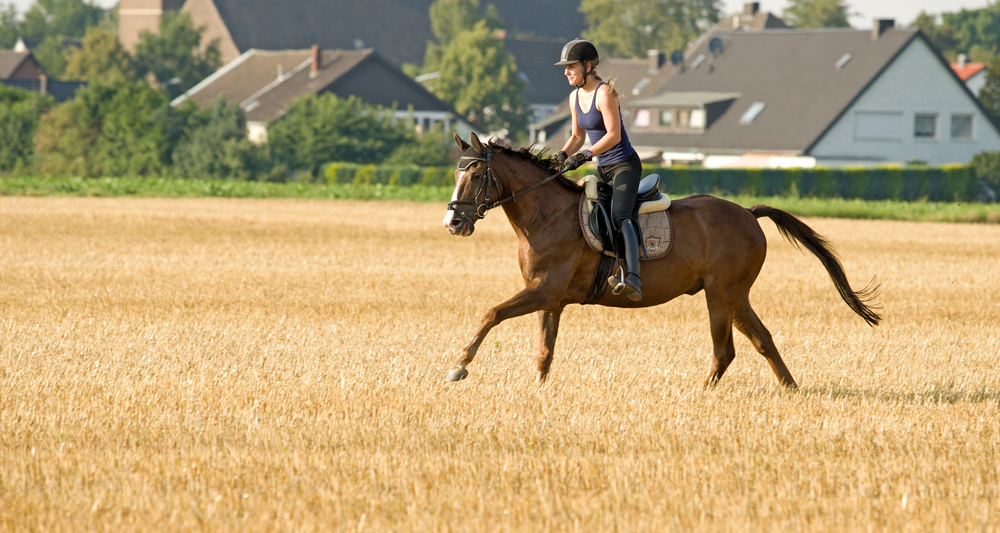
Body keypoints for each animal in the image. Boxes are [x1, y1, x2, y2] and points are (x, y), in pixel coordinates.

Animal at [442, 130, 880, 384]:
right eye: (456, 174)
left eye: (476, 176)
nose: (453, 222)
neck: (545, 214)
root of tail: (748, 213)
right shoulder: (551, 299)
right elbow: (544, 354)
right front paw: (539, 392)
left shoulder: (544, 291)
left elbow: (491, 314)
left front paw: (459, 365)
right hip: (736, 297)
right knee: (763, 341)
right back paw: (790, 390)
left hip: (720, 296)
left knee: (725, 351)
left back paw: (703, 395)